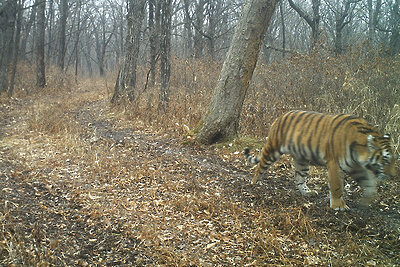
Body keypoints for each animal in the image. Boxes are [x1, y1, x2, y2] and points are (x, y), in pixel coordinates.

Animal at [244, 111, 396, 211]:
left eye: (394, 159)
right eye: (385, 159)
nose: (393, 175)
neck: (359, 153)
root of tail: (280, 117)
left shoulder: (357, 168)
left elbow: (369, 184)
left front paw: (366, 201)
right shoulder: (335, 164)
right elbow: (336, 186)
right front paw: (338, 206)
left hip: (302, 160)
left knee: (299, 179)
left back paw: (307, 192)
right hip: (272, 150)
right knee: (260, 166)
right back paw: (255, 182)